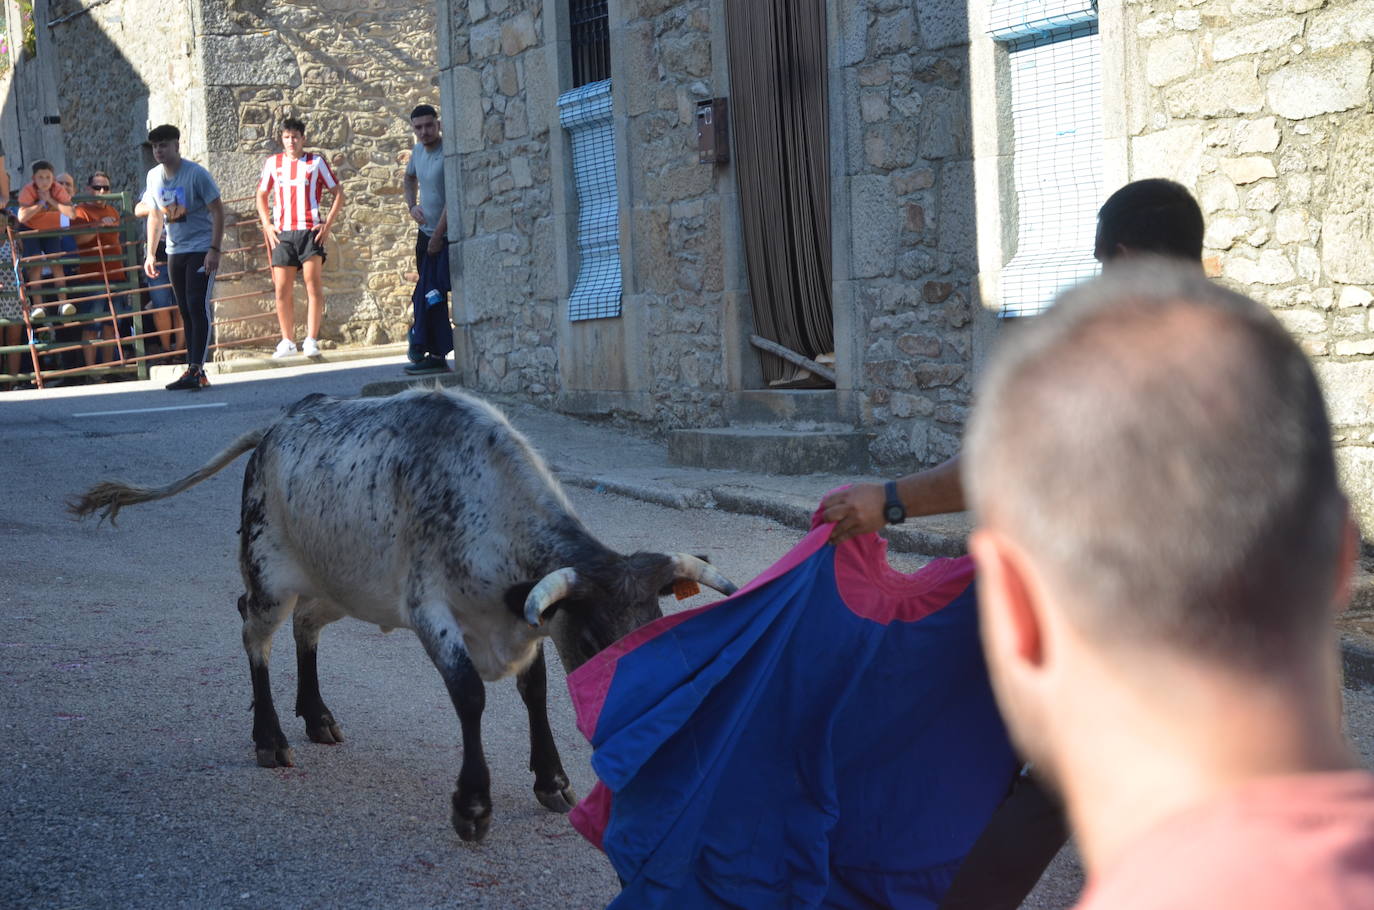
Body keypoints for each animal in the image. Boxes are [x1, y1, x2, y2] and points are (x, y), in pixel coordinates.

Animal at [69, 387, 736, 846]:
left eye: (653, 625)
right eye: (597, 638)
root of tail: (277, 425)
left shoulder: (525, 623)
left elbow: (536, 693)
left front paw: (552, 781)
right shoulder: (431, 612)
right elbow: (470, 696)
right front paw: (472, 807)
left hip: (342, 584)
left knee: (307, 627)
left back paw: (317, 716)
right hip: (269, 578)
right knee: (253, 631)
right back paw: (271, 739)